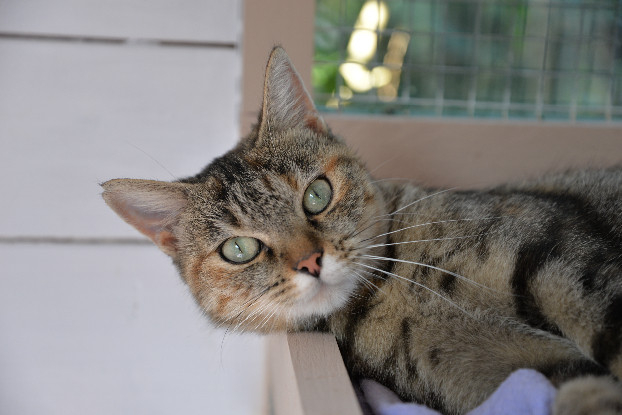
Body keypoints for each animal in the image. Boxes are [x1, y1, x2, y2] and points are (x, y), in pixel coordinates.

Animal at [102, 47, 622, 415]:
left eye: (317, 194)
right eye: (239, 248)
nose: (310, 261)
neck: (391, 289)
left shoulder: (563, 259)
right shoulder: (502, 368)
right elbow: (574, 384)